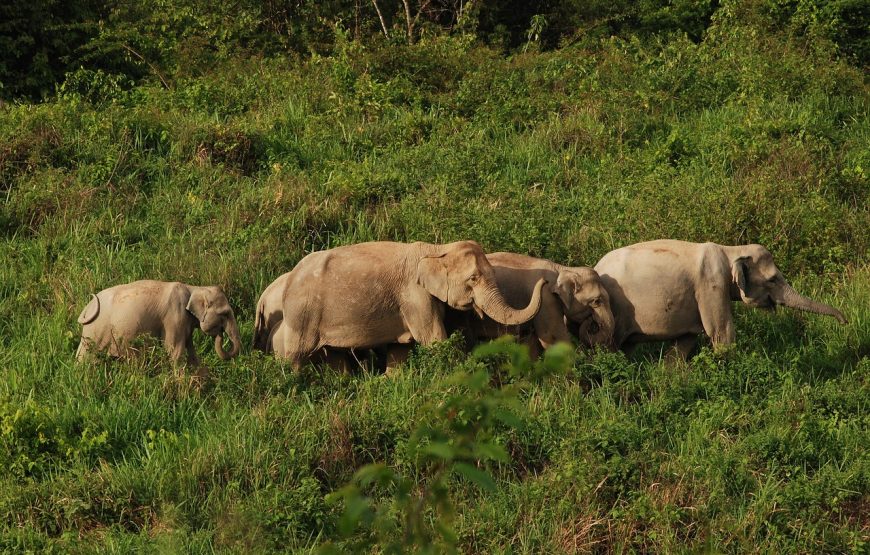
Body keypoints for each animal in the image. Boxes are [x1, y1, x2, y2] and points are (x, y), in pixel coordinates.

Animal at [76, 280, 242, 368]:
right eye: (225, 313)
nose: (220, 333)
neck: (194, 288)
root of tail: (88, 305)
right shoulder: (174, 316)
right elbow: (174, 351)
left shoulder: (185, 322)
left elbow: (192, 352)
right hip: (96, 328)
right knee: (87, 356)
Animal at [274, 240, 544, 368]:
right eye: (473, 279)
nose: (542, 281)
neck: (436, 248)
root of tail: (288, 278)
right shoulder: (414, 297)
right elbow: (434, 340)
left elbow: (400, 349)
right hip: (302, 314)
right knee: (295, 356)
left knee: (334, 356)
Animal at [596, 241, 848, 358]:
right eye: (773, 279)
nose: (845, 321)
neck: (731, 250)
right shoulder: (711, 284)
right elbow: (722, 333)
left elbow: (685, 341)